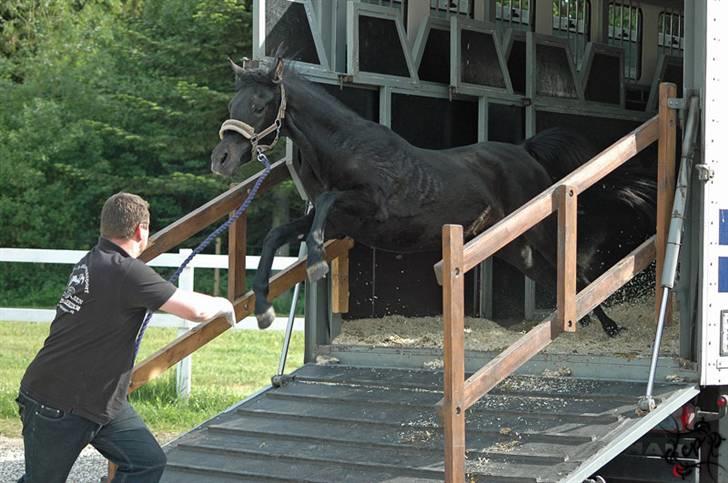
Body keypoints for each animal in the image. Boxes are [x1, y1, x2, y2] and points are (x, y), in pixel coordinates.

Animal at [209, 58, 656, 338]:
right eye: (232, 102)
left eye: (259, 105)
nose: (221, 159)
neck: (347, 148)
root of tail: (525, 151)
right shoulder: (341, 221)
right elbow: (277, 235)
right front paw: (263, 310)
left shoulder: (369, 209)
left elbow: (326, 203)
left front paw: (317, 264)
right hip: (514, 248)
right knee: (550, 276)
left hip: (541, 230)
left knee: (572, 271)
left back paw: (610, 327)